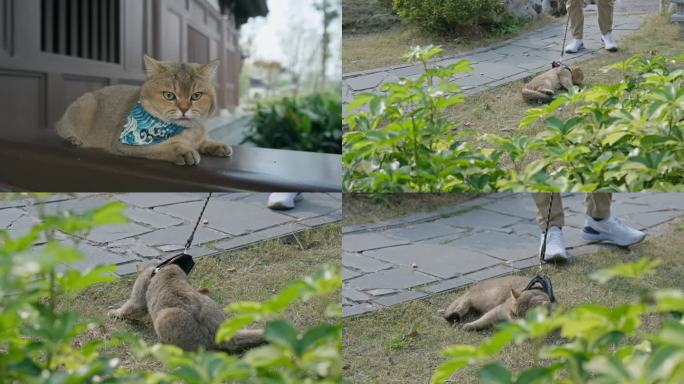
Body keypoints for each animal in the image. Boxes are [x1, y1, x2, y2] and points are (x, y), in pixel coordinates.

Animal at [54, 54, 231, 166]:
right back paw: (73, 139)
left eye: (196, 96)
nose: (184, 109)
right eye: (169, 95)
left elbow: (203, 140)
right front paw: (182, 151)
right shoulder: (125, 144)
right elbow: (161, 147)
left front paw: (216, 145)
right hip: (86, 104)